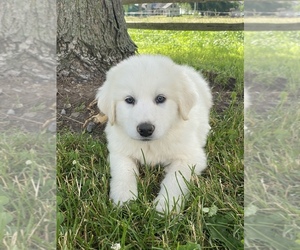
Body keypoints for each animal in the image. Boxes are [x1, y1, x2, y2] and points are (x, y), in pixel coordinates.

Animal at [95, 54, 211, 213]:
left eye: (160, 98)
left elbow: (175, 179)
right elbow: (124, 171)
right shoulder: (119, 152)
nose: (145, 129)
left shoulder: (191, 158)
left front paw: (166, 205)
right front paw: (124, 199)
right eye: (129, 100)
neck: (151, 145)